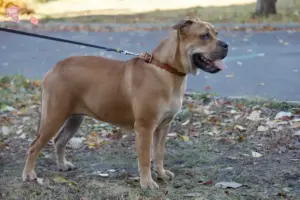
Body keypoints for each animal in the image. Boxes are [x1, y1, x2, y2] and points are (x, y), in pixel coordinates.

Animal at [22, 18, 229, 189]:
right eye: (204, 36)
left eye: (216, 33)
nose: (226, 44)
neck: (167, 69)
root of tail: (55, 68)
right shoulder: (145, 127)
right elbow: (145, 157)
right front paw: (147, 183)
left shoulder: (164, 126)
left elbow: (159, 153)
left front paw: (161, 174)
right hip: (54, 117)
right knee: (34, 146)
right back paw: (29, 174)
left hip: (74, 118)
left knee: (59, 141)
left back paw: (62, 165)